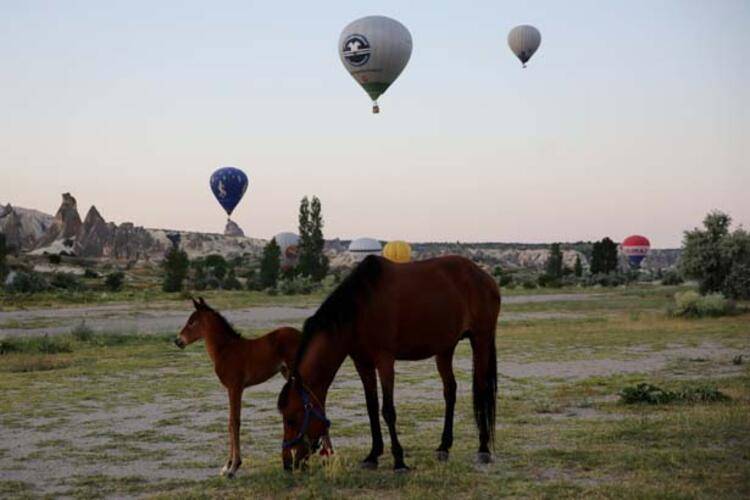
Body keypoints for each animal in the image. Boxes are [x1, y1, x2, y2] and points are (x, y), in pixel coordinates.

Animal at [176, 296, 302, 476]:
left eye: (192, 322)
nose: (178, 341)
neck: (224, 349)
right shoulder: (231, 389)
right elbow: (230, 422)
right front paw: (226, 465)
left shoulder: (235, 387)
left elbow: (234, 422)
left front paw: (233, 466)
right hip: (288, 374)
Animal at [280, 256, 502, 470]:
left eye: (292, 418)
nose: (288, 463)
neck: (361, 307)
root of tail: (485, 277)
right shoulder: (363, 363)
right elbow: (371, 407)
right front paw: (373, 455)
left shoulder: (385, 360)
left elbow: (388, 410)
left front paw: (399, 460)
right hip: (445, 348)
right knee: (450, 391)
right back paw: (444, 447)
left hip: (481, 340)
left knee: (481, 390)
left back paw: (483, 449)